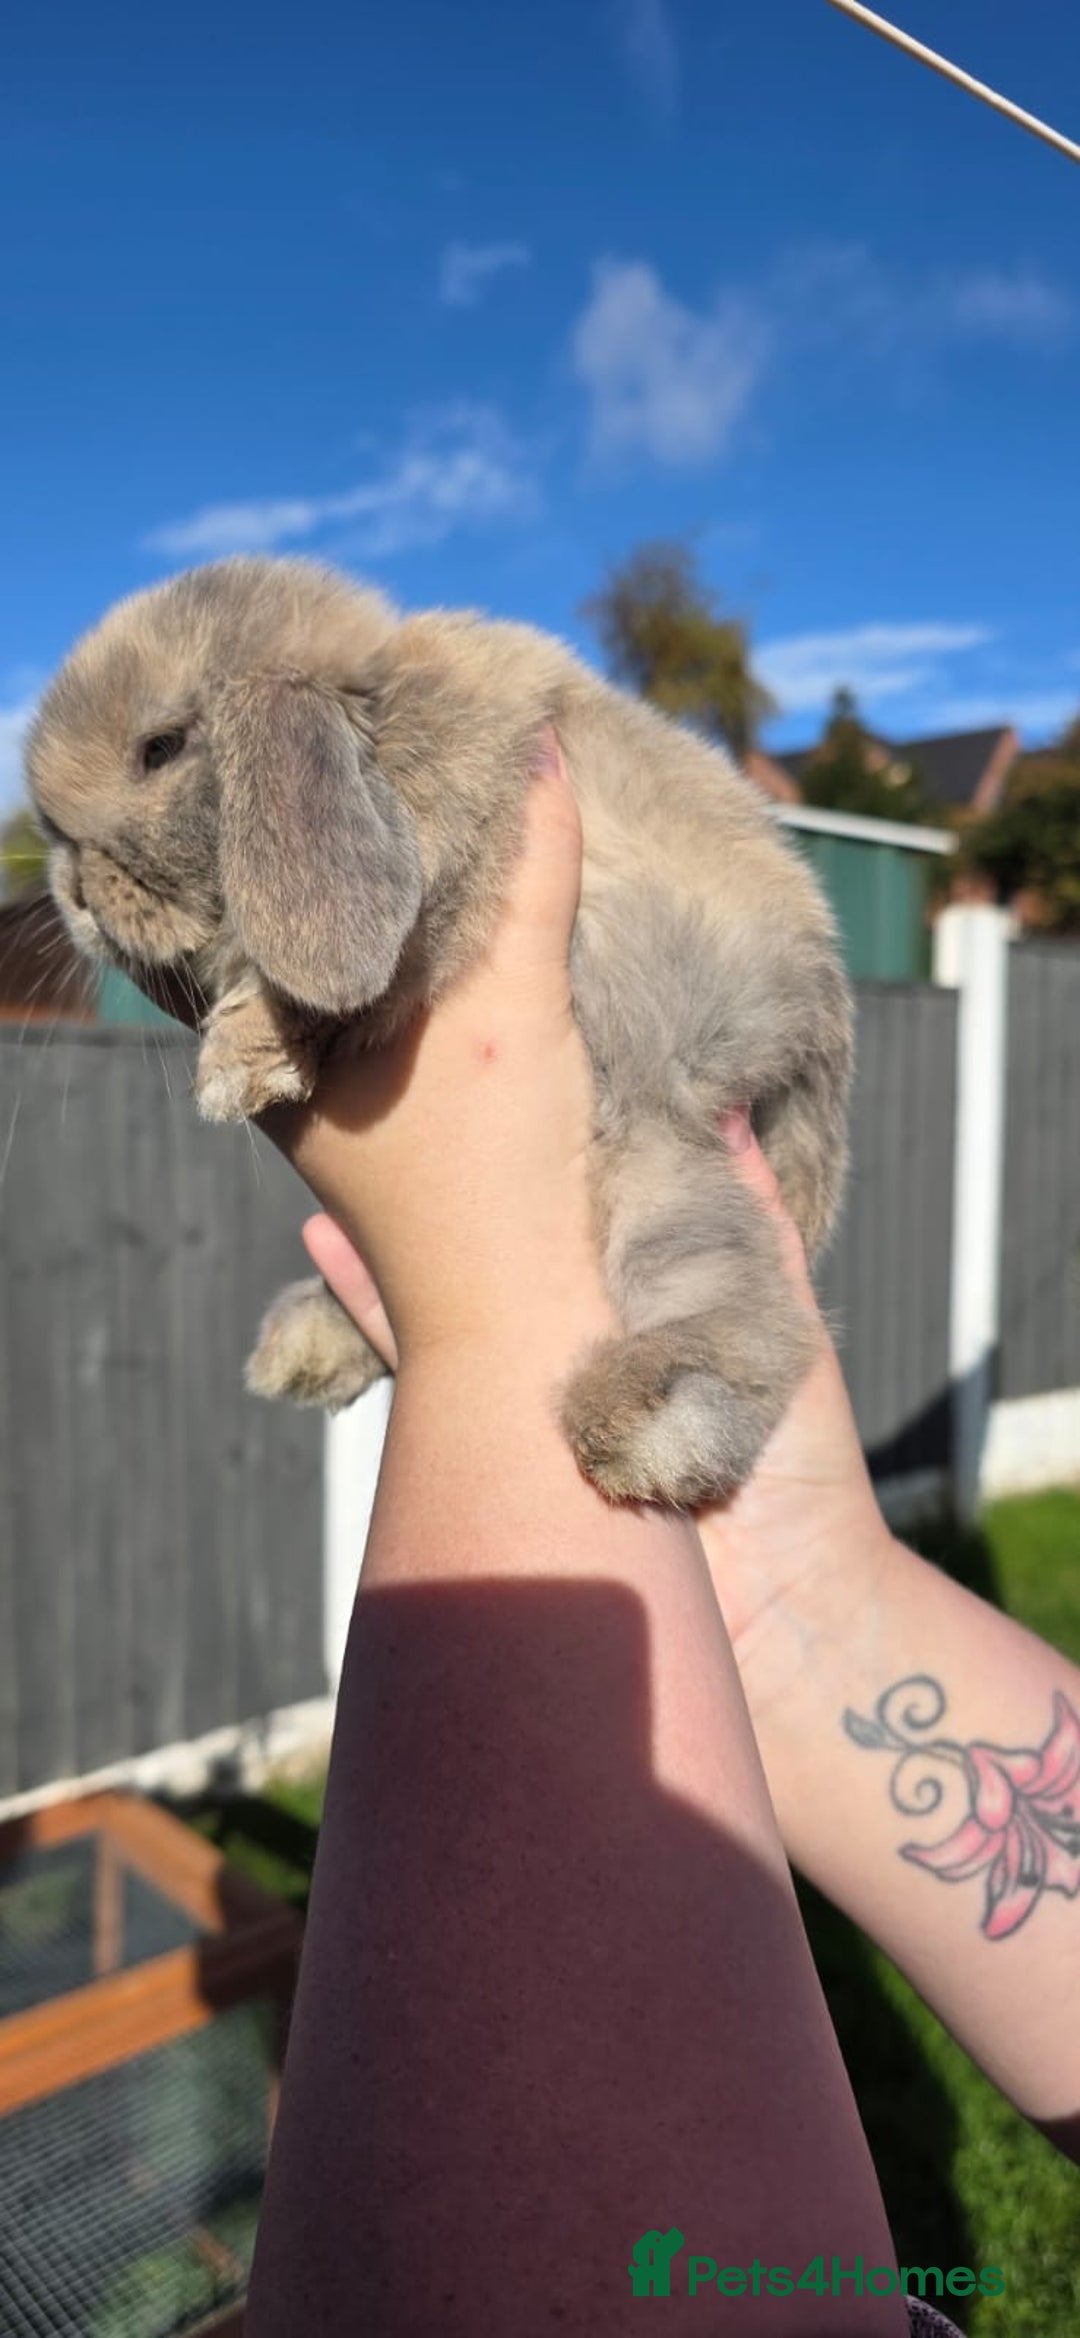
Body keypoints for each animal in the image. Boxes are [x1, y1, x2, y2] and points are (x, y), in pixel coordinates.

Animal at [26, 553, 853, 1509]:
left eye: (160, 747)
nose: (72, 895)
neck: (384, 714)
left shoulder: (450, 854)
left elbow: (308, 989)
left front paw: (237, 1066)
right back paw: (308, 1344)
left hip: (659, 1132)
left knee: (743, 1296)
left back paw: (646, 1424)